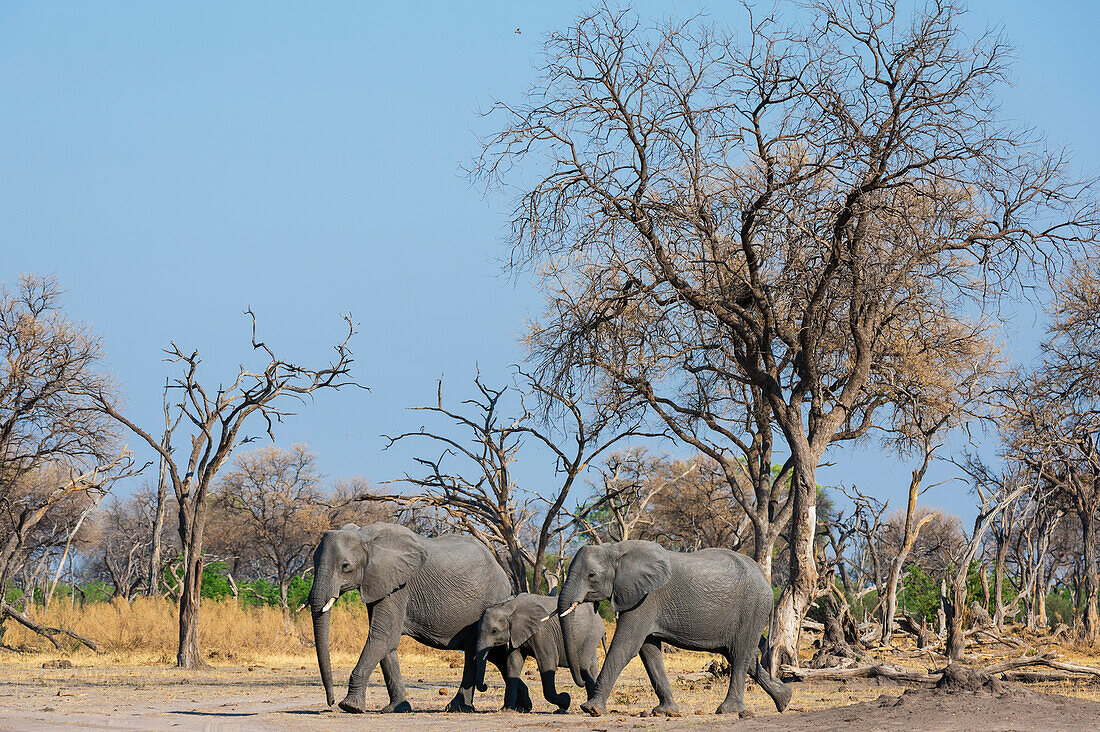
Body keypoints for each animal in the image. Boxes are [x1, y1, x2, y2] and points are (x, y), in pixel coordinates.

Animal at [305, 521, 528, 708]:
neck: (366, 537)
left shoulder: (400, 586)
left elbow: (382, 636)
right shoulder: (379, 583)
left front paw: (350, 707)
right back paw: (519, 705)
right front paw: (397, 709)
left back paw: (462, 708)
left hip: (490, 599)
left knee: (478, 651)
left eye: (346, 567)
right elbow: (386, 642)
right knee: (487, 653)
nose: (331, 702)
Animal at [470, 590, 602, 708]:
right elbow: (514, 662)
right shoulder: (516, 633)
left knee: (585, 664)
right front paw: (506, 709)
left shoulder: (542, 631)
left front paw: (565, 699)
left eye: (495, 631)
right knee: (591, 666)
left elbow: (547, 662)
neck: (509, 606)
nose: (485, 686)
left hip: (591, 634)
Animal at [558, 539, 792, 717]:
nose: (582, 681)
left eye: (592, 575)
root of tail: (764, 578)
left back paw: (728, 710)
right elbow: (649, 651)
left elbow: (625, 647)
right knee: (741, 656)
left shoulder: (646, 598)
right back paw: (784, 700)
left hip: (752, 608)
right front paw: (666, 712)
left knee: (741, 654)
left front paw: (591, 710)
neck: (616, 549)